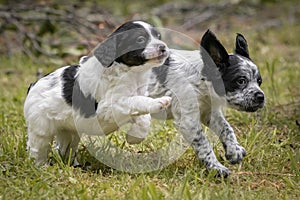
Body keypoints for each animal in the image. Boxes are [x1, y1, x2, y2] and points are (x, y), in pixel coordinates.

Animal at [24, 20, 171, 164]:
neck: (130, 72)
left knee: (65, 148)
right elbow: (137, 101)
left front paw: (134, 137)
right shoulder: (109, 107)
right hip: (41, 129)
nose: (163, 47)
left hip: (69, 130)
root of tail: (33, 85)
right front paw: (159, 102)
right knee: (37, 149)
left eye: (158, 36)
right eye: (140, 39)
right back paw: (41, 166)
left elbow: (144, 117)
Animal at [150, 29, 264, 177]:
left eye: (259, 81)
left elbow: (227, 128)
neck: (200, 80)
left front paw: (234, 151)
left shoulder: (209, 112)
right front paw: (216, 168)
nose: (261, 97)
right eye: (241, 81)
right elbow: (204, 143)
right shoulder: (188, 121)